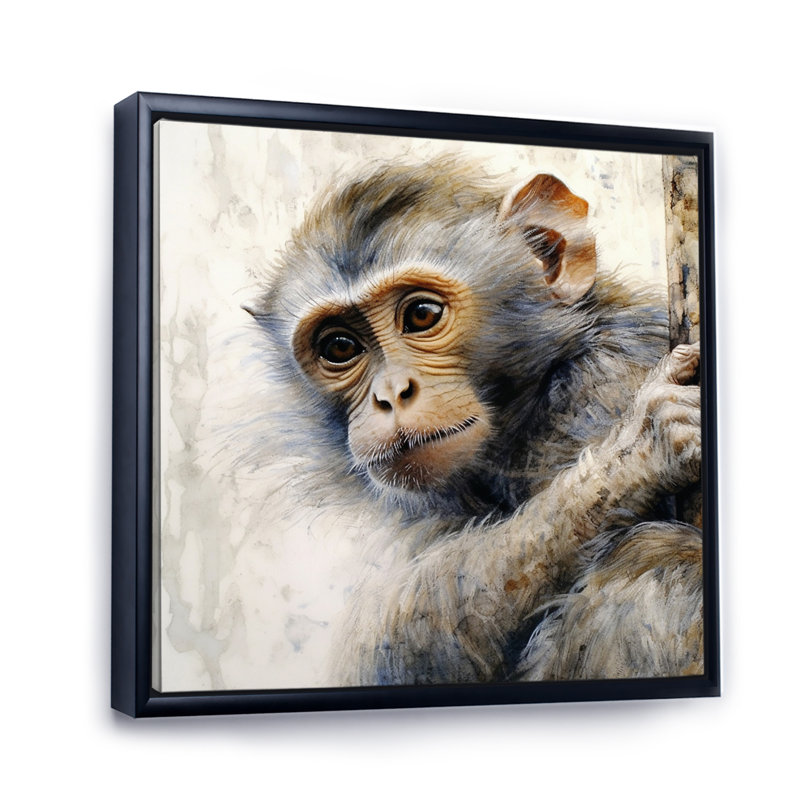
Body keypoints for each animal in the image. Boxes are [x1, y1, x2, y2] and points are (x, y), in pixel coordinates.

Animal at [244, 157, 704, 686]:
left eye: (422, 315)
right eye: (339, 346)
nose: (390, 395)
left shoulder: (601, 388)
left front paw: (641, 450)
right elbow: (391, 641)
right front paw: (635, 457)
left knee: (660, 562)